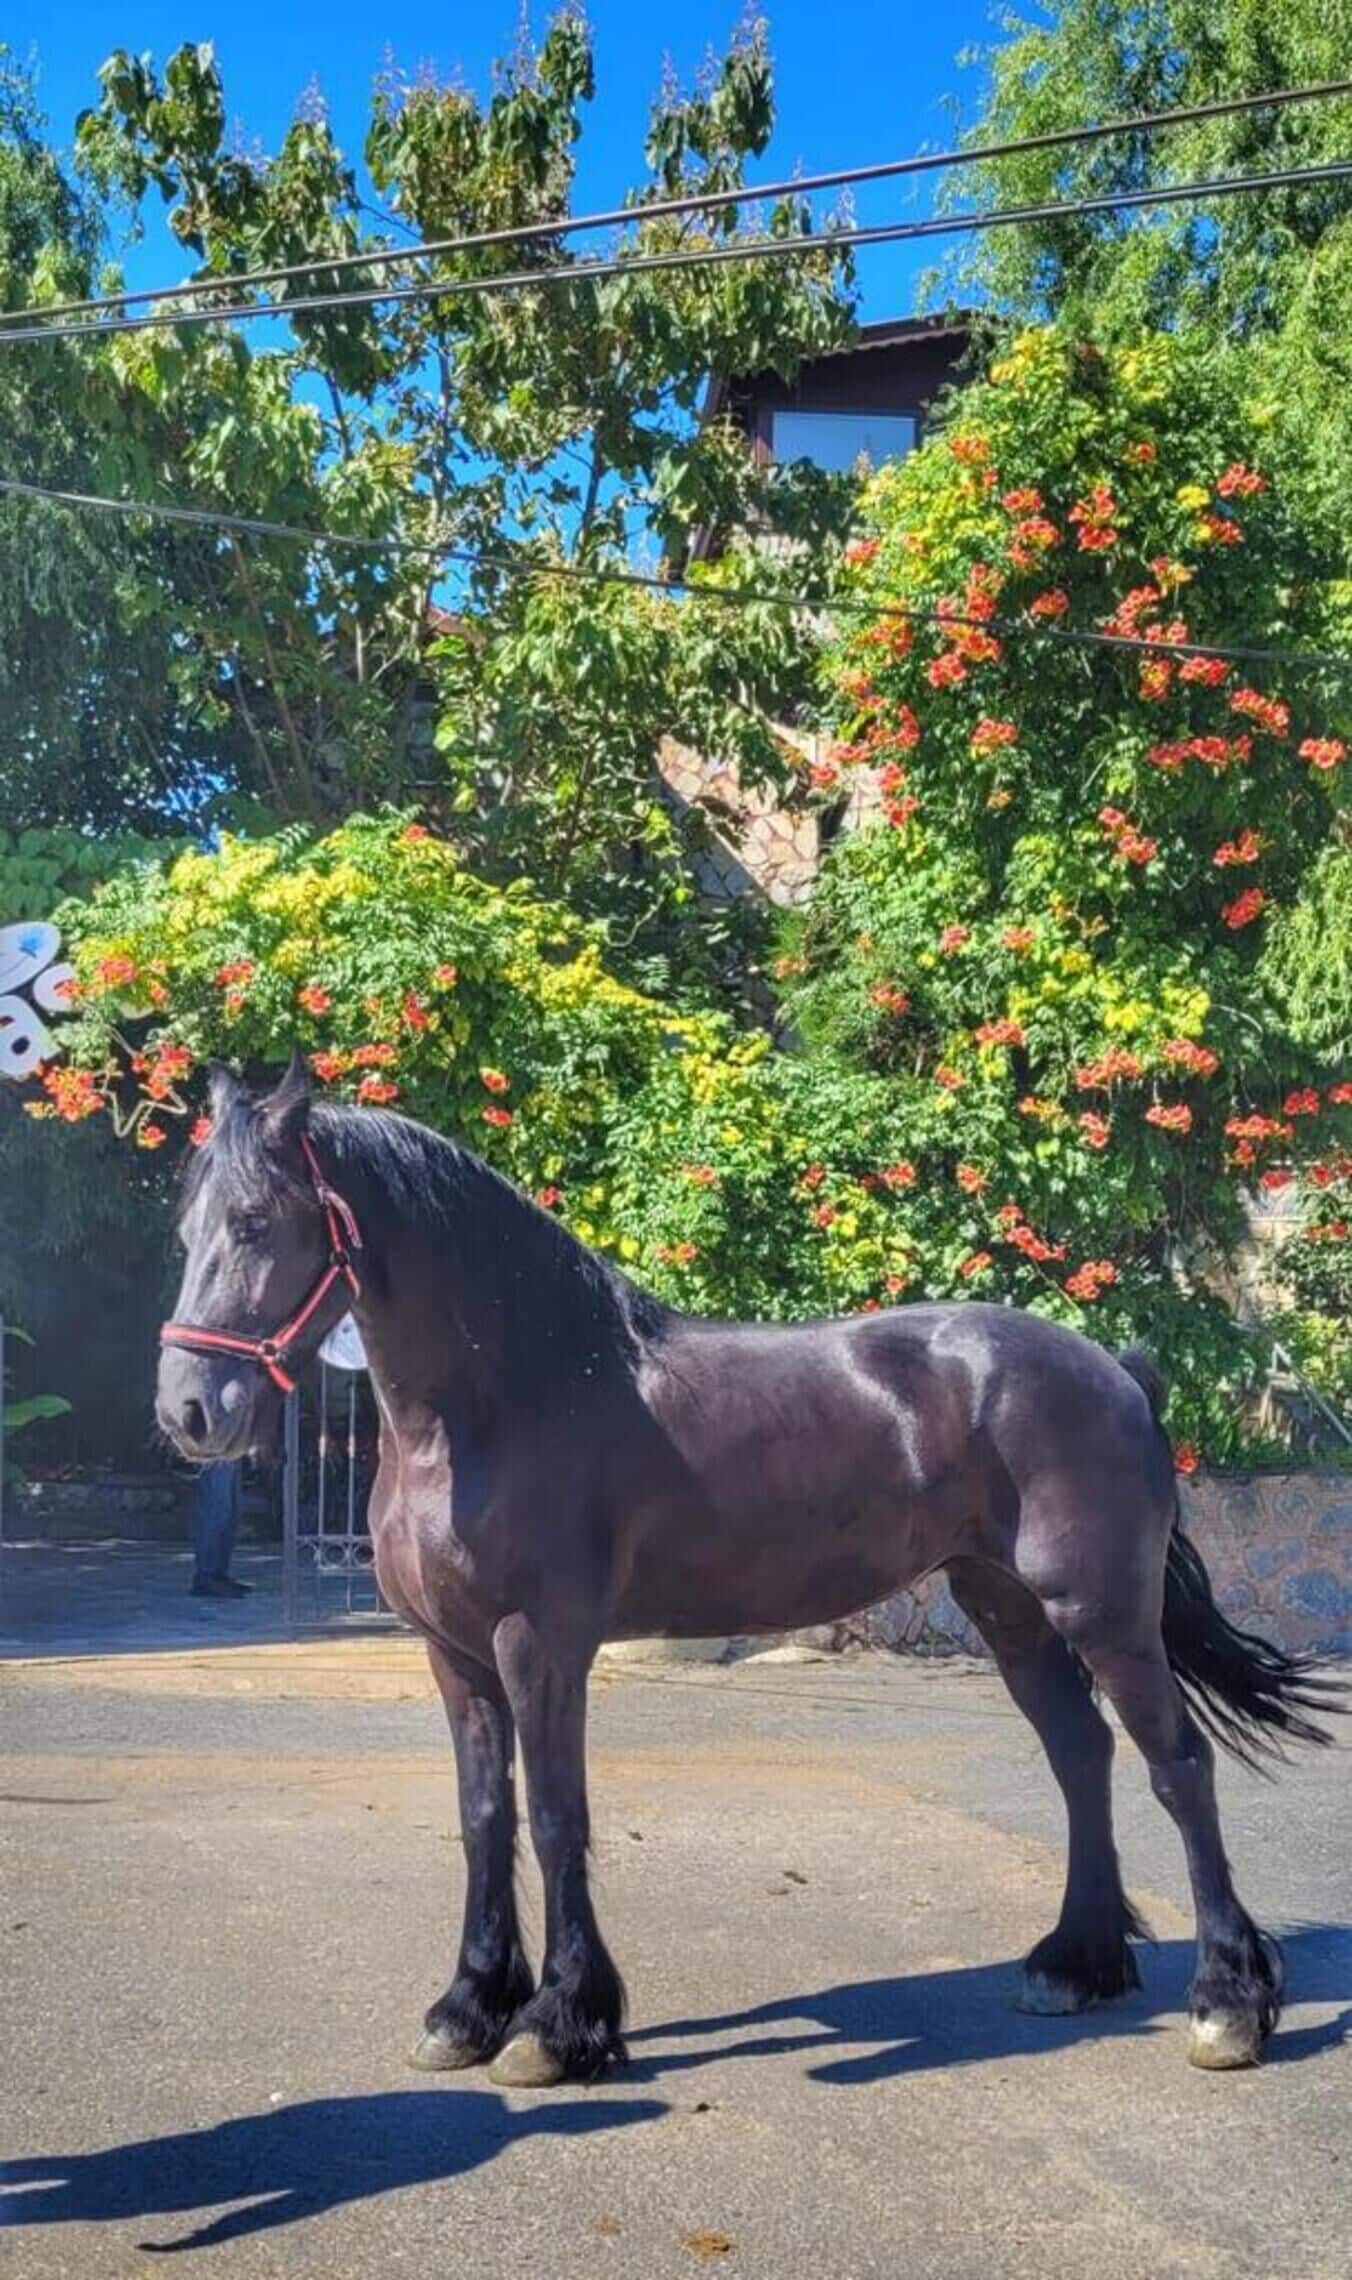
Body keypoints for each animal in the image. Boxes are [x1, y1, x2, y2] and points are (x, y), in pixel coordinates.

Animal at [157, 1056, 1335, 2085]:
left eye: (256, 1223)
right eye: (185, 1229)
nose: (188, 1412)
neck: (500, 1407)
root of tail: (1116, 1369)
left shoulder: (541, 1647)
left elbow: (557, 1816)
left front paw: (558, 2024)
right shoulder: (453, 1655)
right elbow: (483, 1818)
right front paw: (466, 2009)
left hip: (1100, 1611)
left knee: (1176, 1768)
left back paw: (1226, 2003)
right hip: (1008, 1608)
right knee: (1079, 1755)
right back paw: (1074, 1966)